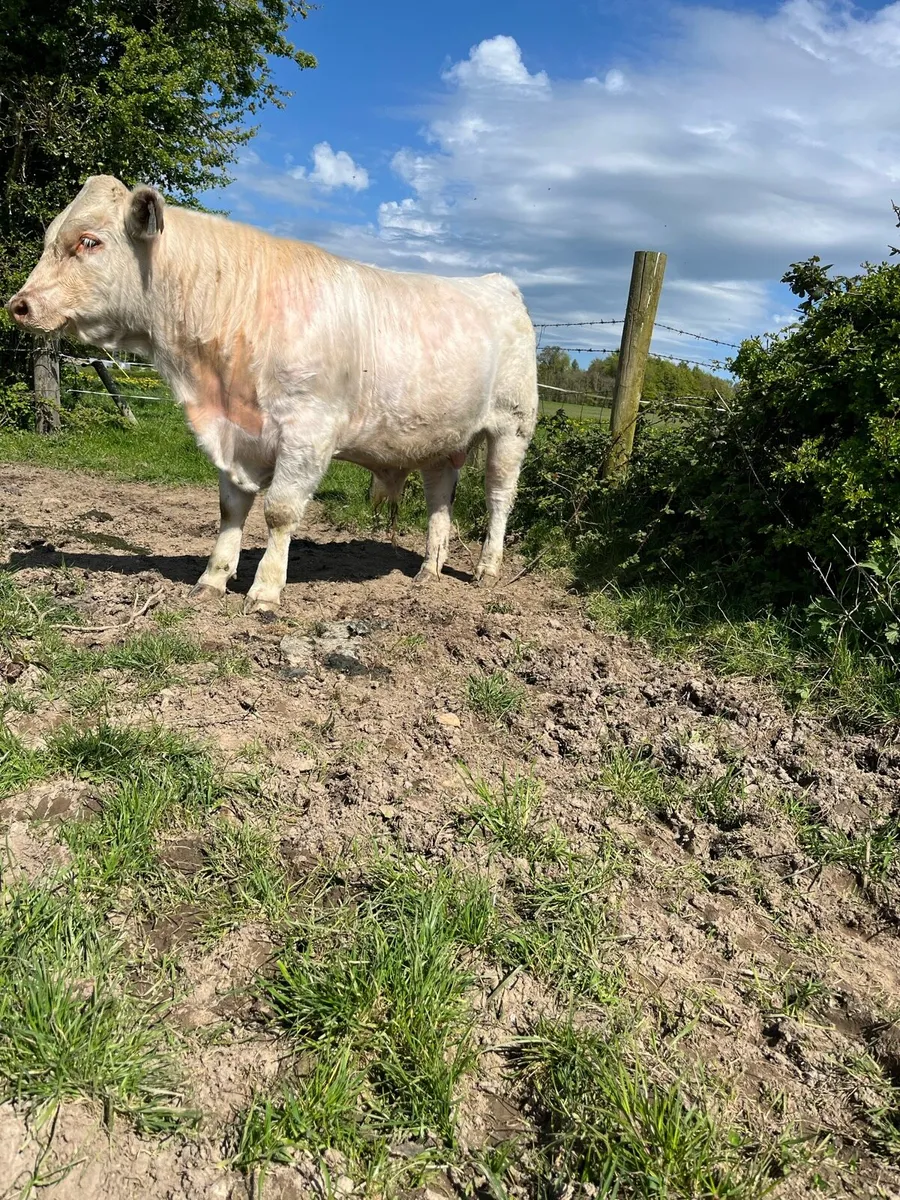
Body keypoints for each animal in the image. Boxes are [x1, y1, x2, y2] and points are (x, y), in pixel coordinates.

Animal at [7, 176, 538, 612]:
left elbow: (280, 510)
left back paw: (486, 570)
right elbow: (231, 508)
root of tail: (498, 284)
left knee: (497, 497)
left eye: (88, 241)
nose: (19, 305)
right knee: (439, 499)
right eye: (50, 239)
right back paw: (428, 571)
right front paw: (213, 578)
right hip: (440, 439)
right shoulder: (232, 434)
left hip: (512, 427)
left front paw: (265, 589)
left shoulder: (308, 430)